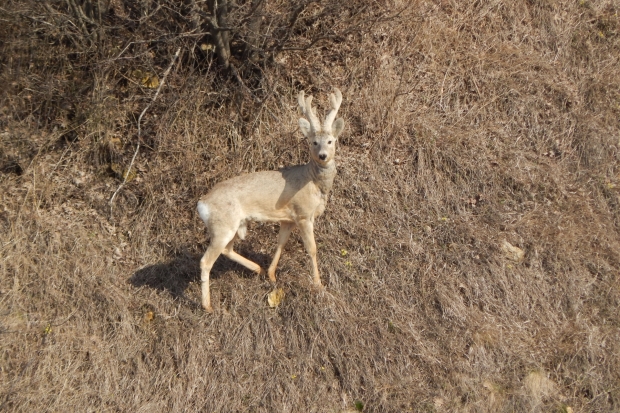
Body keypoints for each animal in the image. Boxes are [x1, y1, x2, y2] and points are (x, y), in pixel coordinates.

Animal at [197, 88, 346, 310]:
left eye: (330, 141)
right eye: (313, 141)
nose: (322, 155)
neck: (313, 182)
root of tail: (202, 204)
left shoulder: (287, 219)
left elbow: (280, 243)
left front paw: (271, 275)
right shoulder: (303, 215)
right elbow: (312, 248)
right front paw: (318, 284)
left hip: (234, 225)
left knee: (227, 250)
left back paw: (257, 269)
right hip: (222, 225)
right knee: (206, 261)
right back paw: (207, 306)